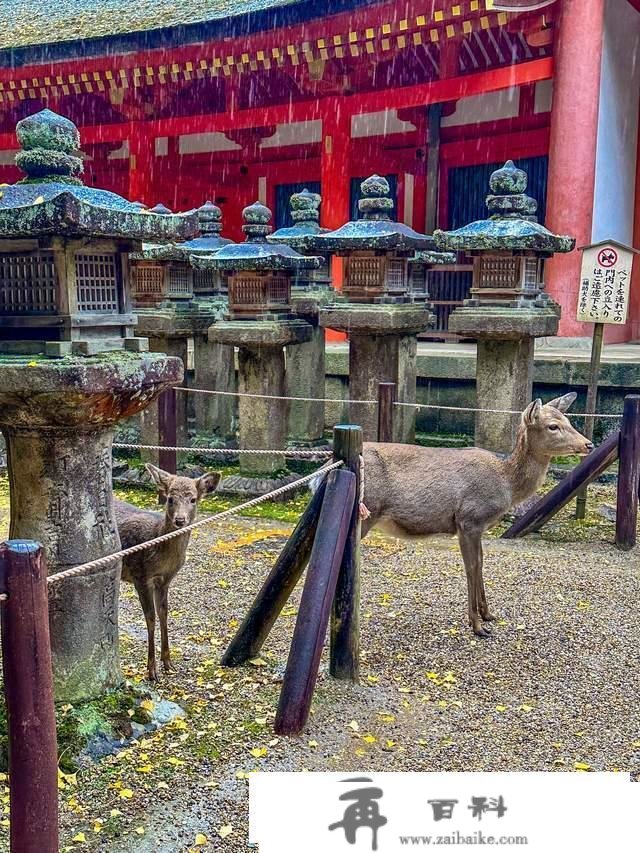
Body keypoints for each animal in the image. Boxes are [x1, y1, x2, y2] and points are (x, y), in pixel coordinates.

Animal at [111, 462, 219, 684]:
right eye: (170, 498)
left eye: (193, 499)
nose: (180, 519)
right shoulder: (140, 576)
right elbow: (150, 617)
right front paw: (152, 671)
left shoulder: (166, 580)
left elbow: (164, 613)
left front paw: (168, 663)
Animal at [358, 396, 592, 636]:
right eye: (553, 426)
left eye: (568, 420)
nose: (589, 444)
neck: (507, 483)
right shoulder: (468, 519)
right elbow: (470, 567)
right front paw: (477, 625)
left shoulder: (480, 526)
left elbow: (480, 563)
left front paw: (488, 614)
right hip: (367, 511)